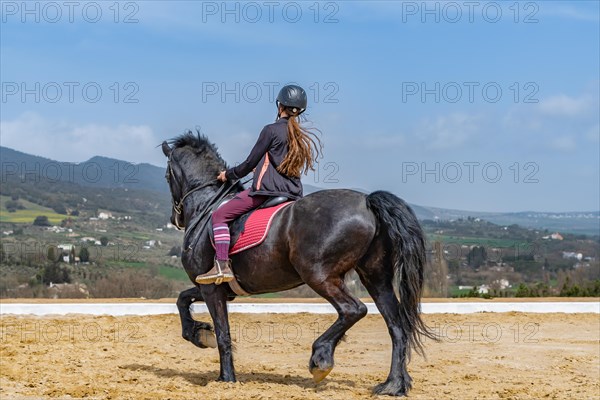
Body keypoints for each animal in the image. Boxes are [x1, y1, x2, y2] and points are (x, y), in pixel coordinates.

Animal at [162, 132, 434, 396]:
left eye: (166, 175)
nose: (175, 219)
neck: (207, 207)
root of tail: (367, 201)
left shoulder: (212, 289)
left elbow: (222, 333)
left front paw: (225, 378)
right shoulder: (218, 288)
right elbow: (182, 300)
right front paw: (198, 334)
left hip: (319, 275)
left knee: (353, 310)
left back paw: (321, 358)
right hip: (375, 277)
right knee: (396, 326)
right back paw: (394, 385)